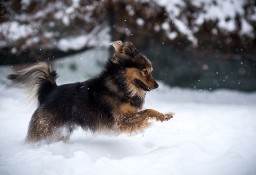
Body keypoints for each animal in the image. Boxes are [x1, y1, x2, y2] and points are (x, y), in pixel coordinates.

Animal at [7, 41, 174, 144]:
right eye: (145, 72)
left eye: (151, 71)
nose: (157, 85)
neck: (120, 85)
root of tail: (51, 89)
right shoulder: (119, 120)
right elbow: (146, 111)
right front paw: (153, 120)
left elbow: (148, 111)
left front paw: (164, 116)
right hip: (45, 129)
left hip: (60, 131)